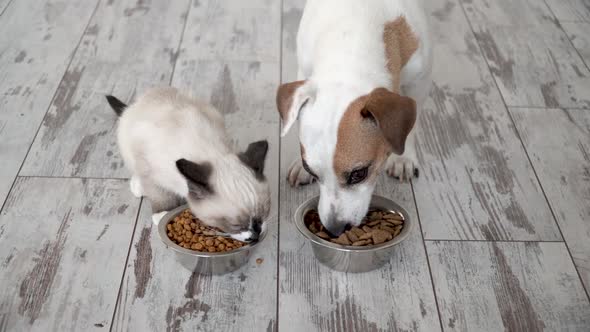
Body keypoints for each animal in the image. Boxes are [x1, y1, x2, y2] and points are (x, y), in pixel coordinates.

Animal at [278, 0, 434, 235]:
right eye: (310, 169)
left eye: (359, 173)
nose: (335, 229)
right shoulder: (304, 72)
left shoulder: (420, 80)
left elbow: (413, 126)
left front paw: (403, 157)